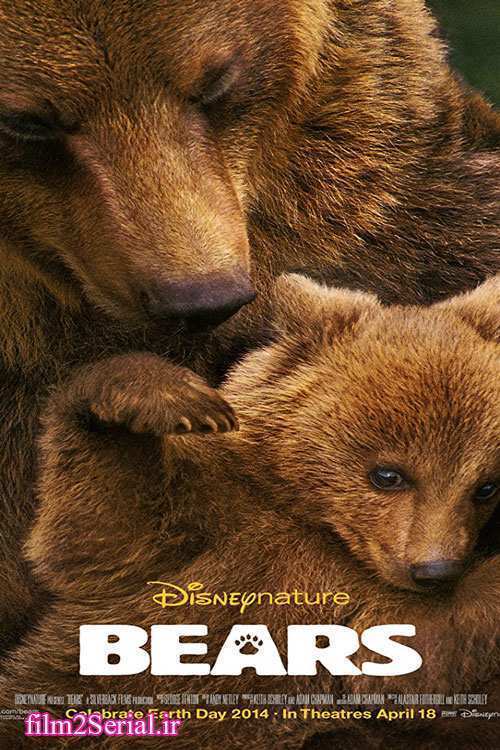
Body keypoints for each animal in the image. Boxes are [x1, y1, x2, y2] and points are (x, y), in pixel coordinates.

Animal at [0, 273, 498, 749]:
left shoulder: (358, 613)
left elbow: (419, 653)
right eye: (388, 474)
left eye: (486, 487)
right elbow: (98, 526)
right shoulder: (204, 518)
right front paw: (167, 397)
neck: (312, 524)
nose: (435, 570)